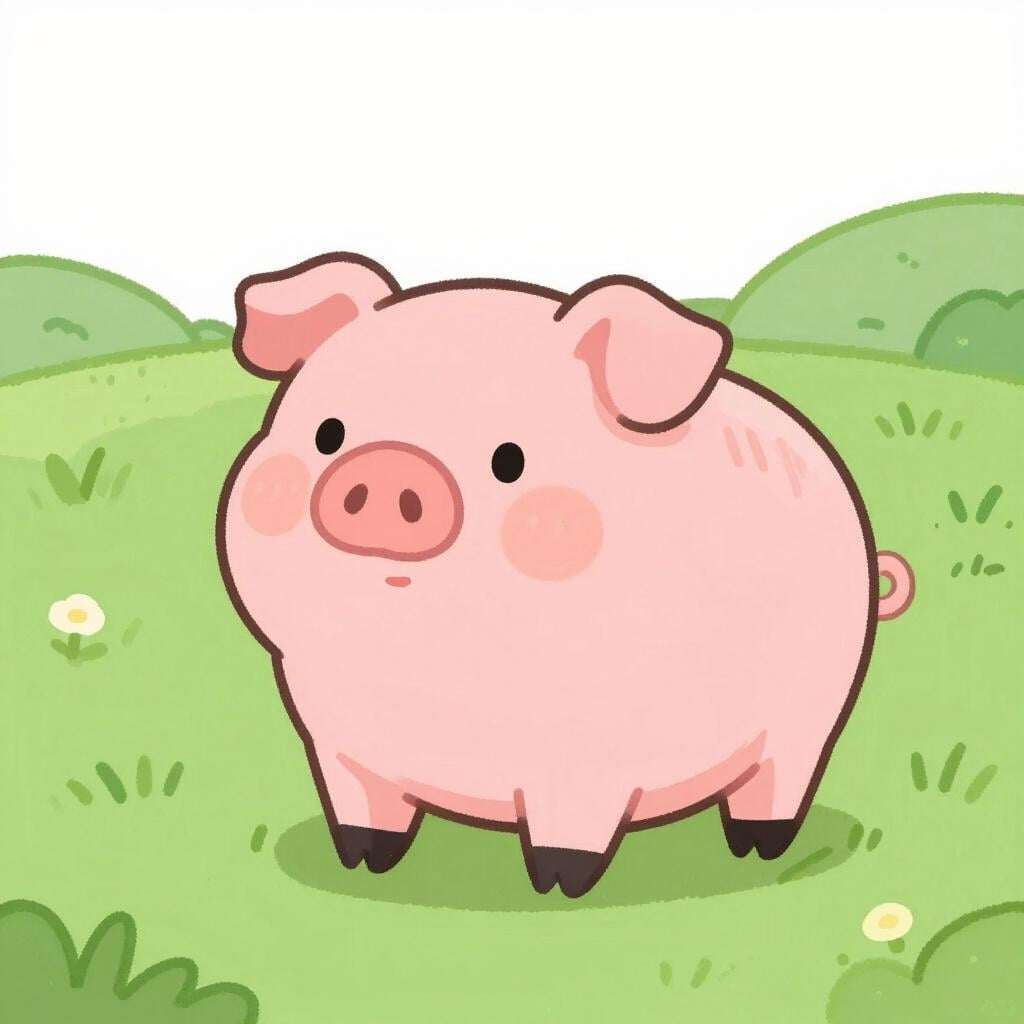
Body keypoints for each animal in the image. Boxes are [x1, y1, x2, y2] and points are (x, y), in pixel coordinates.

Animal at [217, 252, 914, 898]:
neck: (434, 681)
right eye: (328, 434)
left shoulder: (590, 762)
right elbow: (365, 815)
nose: (389, 468)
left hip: (815, 703)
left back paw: (756, 850)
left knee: (778, 784)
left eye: (509, 461)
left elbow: (571, 831)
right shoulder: (337, 745)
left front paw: (557, 884)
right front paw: (362, 864)